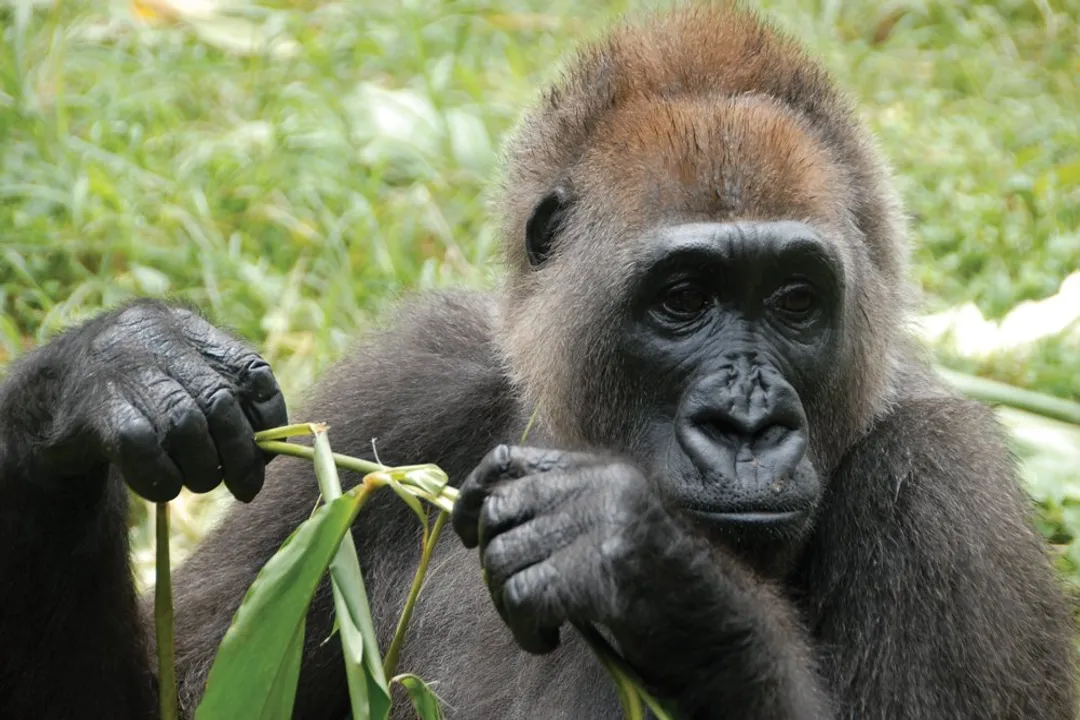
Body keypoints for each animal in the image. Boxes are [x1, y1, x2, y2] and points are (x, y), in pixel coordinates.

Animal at [0, 4, 1075, 719]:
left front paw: (655, 577)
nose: (747, 426)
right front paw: (101, 373)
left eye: (795, 301)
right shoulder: (408, 380)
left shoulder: (942, 486)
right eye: (684, 300)